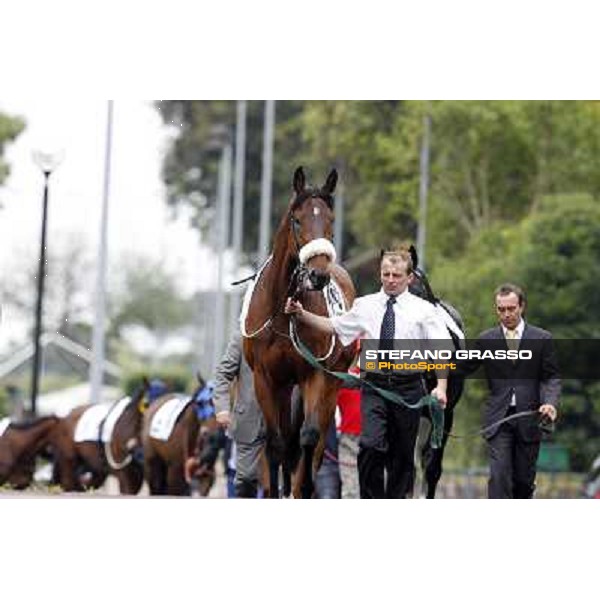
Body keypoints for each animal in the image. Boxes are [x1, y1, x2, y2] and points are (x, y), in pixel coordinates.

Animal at [244, 166, 356, 500]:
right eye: (297, 219)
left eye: (331, 219)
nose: (318, 275)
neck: (282, 313)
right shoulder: (266, 378)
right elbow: (276, 441)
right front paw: (273, 491)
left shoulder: (315, 374)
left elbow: (308, 437)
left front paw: (302, 487)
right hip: (284, 387)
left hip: (330, 385)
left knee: (314, 444)